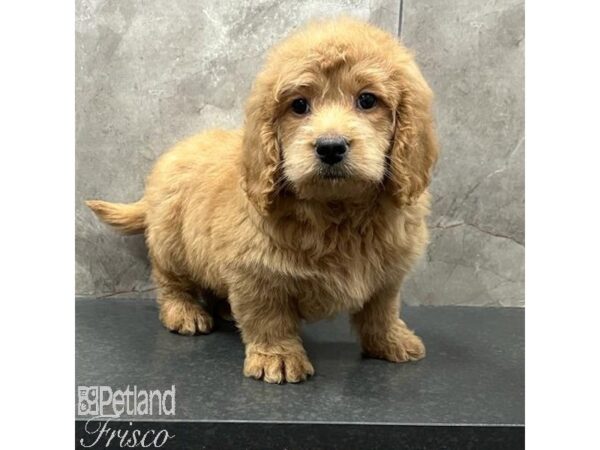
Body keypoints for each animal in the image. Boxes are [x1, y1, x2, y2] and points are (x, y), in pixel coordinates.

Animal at [86, 17, 438, 384]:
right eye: (299, 105)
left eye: (367, 100)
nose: (330, 147)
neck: (335, 211)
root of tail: (173, 154)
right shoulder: (256, 271)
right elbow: (268, 317)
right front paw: (278, 357)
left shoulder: (387, 270)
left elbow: (381, 309)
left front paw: (391, 341)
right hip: (172, 243)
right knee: (170, 280)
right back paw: (184, 311)